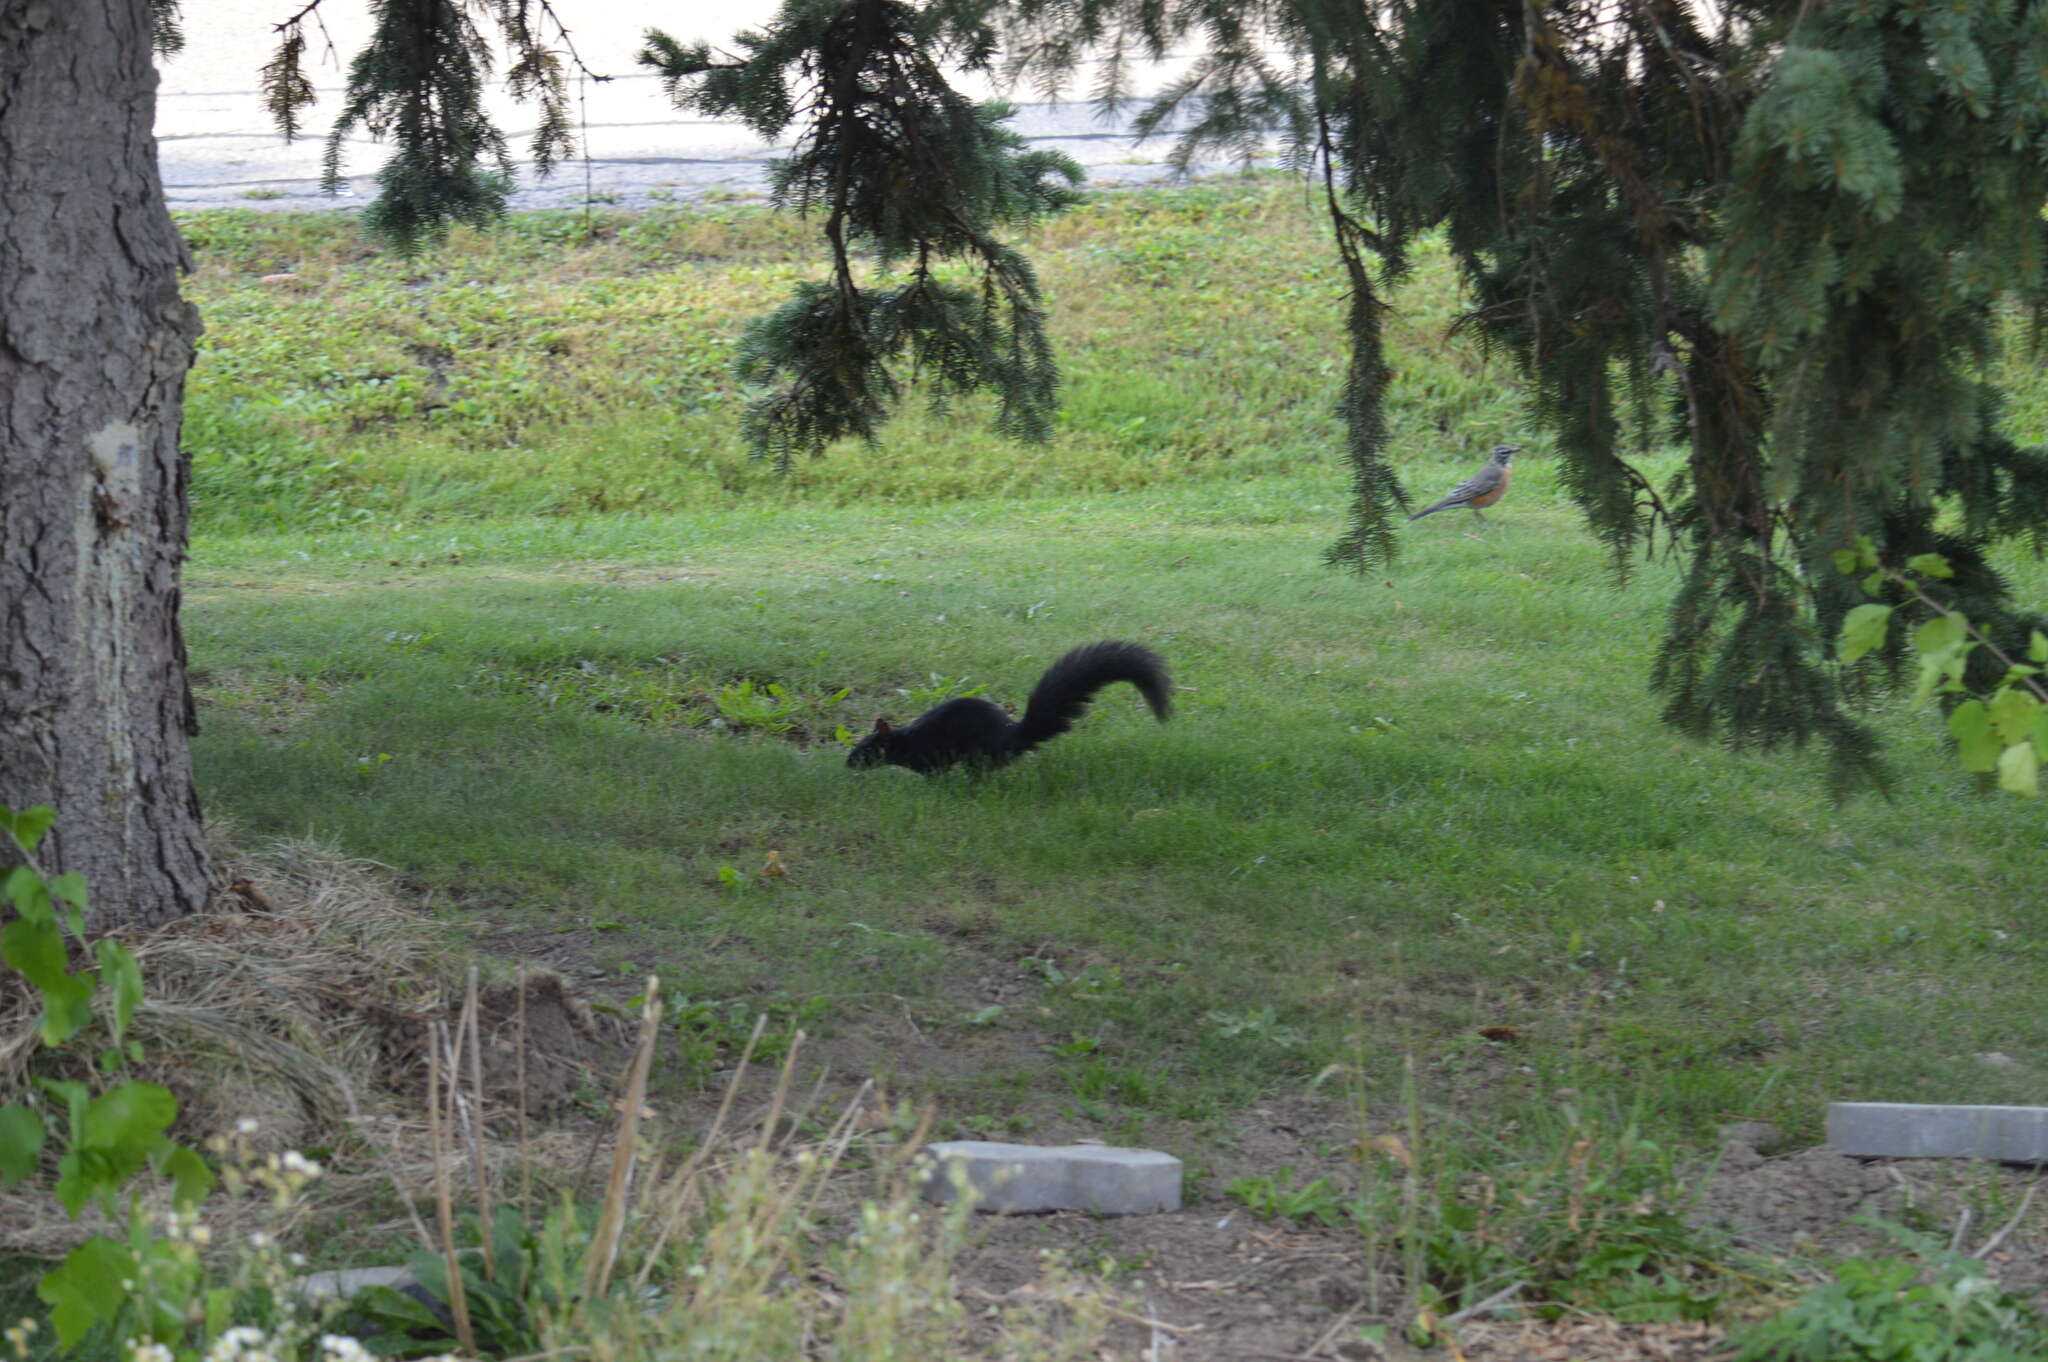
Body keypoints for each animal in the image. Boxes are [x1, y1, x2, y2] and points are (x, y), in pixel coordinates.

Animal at [847, 639, 1171, 770]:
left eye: (866, 750)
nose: (848, 764)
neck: (906, 741)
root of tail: (1013, 735)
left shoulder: (931, 758)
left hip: (979, 755)